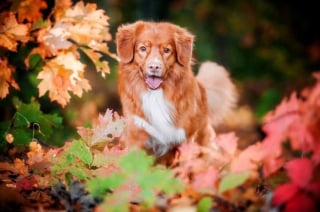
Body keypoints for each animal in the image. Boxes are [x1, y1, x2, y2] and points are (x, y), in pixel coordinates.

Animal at [116, 21, 236, 159]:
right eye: (143, 48)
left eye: (167, 50)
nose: (154, 67)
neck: (155, 95)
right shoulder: (136, 136)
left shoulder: (183, 139)